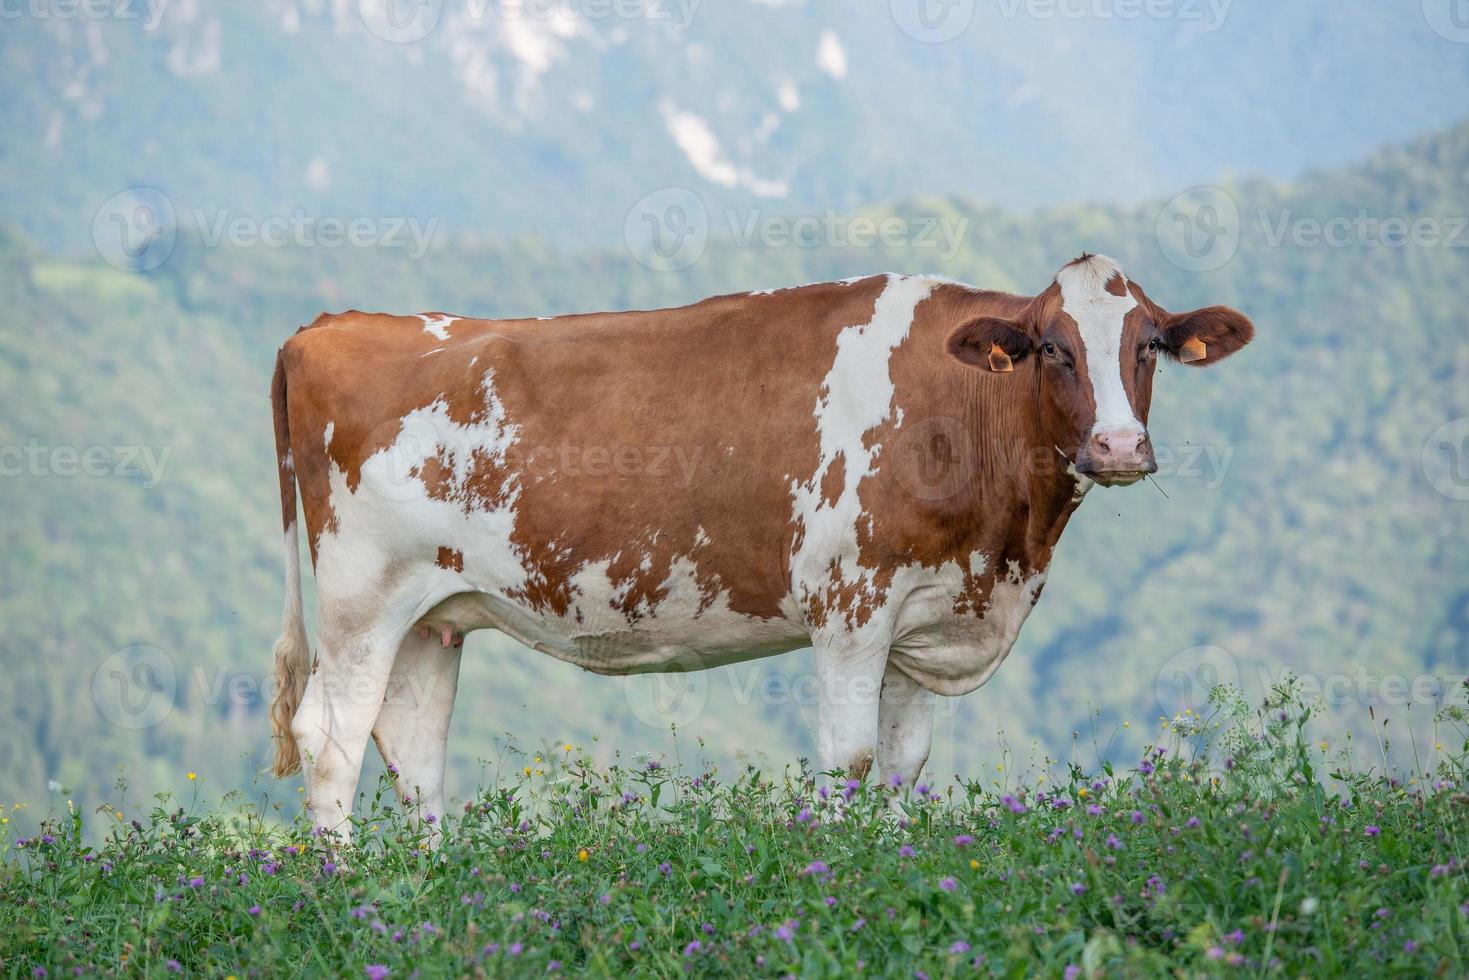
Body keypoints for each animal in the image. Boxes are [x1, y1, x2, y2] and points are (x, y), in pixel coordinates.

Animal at [267, 255, 1251, 846]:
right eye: (1052, 348)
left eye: (1149, 347)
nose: (1119, 447)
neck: (1002, 554)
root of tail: (335, 324)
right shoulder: (850, 606)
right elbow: (848, 760)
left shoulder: (921, 616)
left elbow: (904, 766)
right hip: (359, 599)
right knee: (330, 739)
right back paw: (348, 893)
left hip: (430, 615)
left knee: (413, 751)